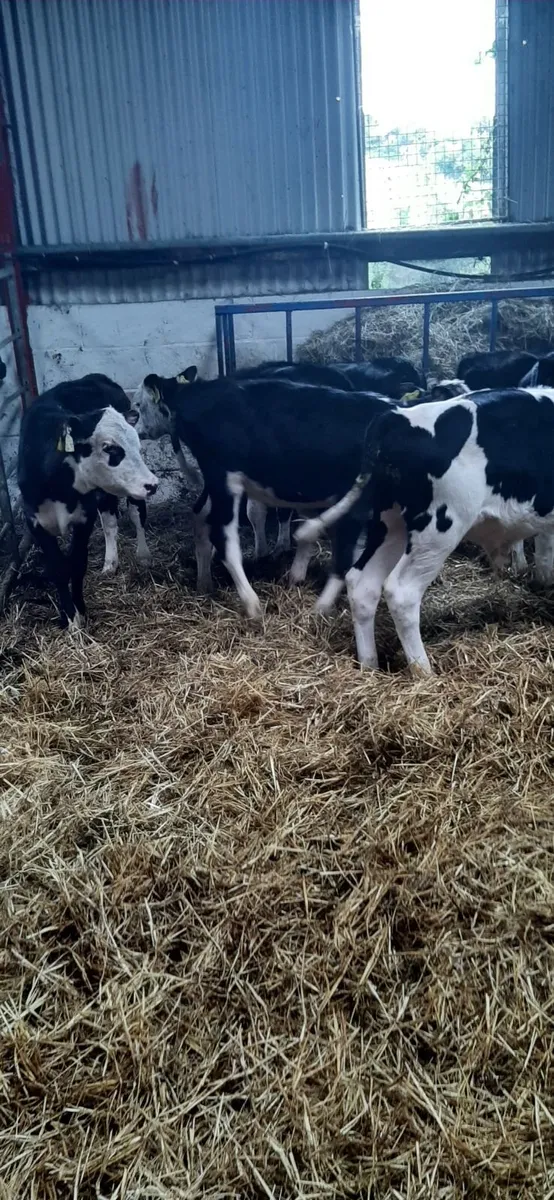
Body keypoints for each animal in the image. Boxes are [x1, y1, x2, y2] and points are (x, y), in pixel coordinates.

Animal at [18, 387, 158, 628]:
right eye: (109, 447)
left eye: (137, 446)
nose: (154, 484)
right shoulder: (35, 522)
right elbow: (57, 568)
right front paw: (69, 617)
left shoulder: (84, 518)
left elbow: (77, 563)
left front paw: (80, 613)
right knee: (110, 522)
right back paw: (110, 563)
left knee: (136, 512)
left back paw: (143, 556)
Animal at [134, 371, 399, 615]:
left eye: (138, 404)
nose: (135, 429)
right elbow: (342, 555)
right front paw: (320, 607)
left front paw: (298, 577)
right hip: (224, 480)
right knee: (223, 534)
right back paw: (252, 603)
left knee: (201, 517)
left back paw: (205, 584)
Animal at [295, 386, 554, 674]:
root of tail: (398, 417)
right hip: (438, 529)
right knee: (401, 593)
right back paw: (424, 672)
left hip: (390, 522)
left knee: (362, 583)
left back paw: (370, 665)